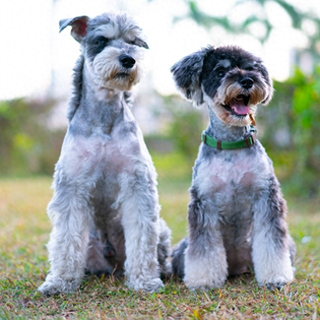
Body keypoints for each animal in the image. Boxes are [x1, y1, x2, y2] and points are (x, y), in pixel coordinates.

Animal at [37, 13, 172, 296]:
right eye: (101, 40)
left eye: (134, 42)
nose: (128, 59)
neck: (104, 119)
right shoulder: (73, 185)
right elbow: (66, 238)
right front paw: (60, 281)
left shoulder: (137, 183)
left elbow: (142, 236)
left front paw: (144, 280)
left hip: (162, 230)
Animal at [170, 46, 296, 292]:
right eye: (220, 72)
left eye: (252, 68)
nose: (247, 80)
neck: (231, 145)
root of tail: (238, 266)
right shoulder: (204, 203)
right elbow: (204, 248)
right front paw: (204, 281)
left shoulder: (266, 196)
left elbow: (271, 242)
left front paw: (275, 277)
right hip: (181, 250)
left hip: (290, 246)